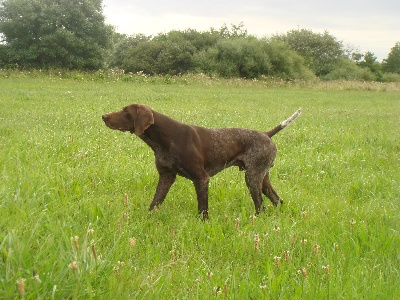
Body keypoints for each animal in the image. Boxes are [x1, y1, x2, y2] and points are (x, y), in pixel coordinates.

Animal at [103, 103, 300, 218]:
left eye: (126, 111)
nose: (103, 116)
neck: (164, 139)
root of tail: (266, 134)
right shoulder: (166, 176)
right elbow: (155, 202)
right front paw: (147, 219)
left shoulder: (201, 178)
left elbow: (202, 208)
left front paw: (203, 223)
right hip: (262, 177)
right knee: (277, 199)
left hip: (253, 177)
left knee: (261, 205)